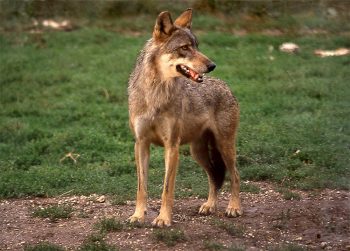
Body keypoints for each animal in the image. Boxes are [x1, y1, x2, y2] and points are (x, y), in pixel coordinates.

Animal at [127, 8, 242, 227]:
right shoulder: (141, 144)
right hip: (198, 152)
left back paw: (234, 207)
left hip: (224, 147)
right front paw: (138, 215)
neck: (156, 93)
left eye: (197, 46)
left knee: (235, 175)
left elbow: (166, 189)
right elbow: (141, 187)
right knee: (214, 177)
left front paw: (163, 219)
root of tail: (226, 86)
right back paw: (209, 205)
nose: (212, 65)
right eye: (185, 48)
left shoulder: (171, 147)